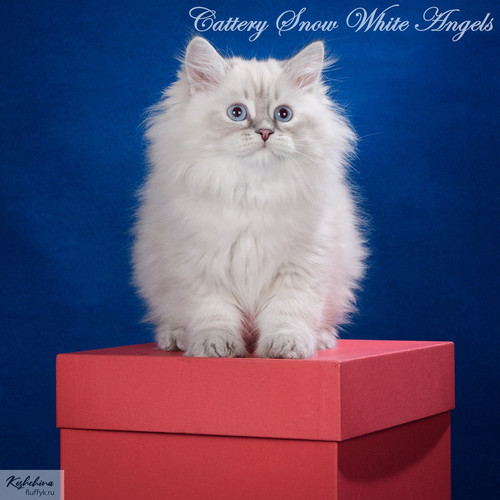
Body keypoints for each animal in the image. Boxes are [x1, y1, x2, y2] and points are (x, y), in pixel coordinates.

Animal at [132, 37, 367, 358]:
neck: (252, 191)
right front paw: (215, 346)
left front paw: (286, 347)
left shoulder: (300, 267)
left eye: (283, 114)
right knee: (171, 319)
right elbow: (213, 315)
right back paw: (177, 339)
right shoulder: (199, 267)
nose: (265, 132)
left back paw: (321, 339)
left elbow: (287, 314)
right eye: (237, 113)